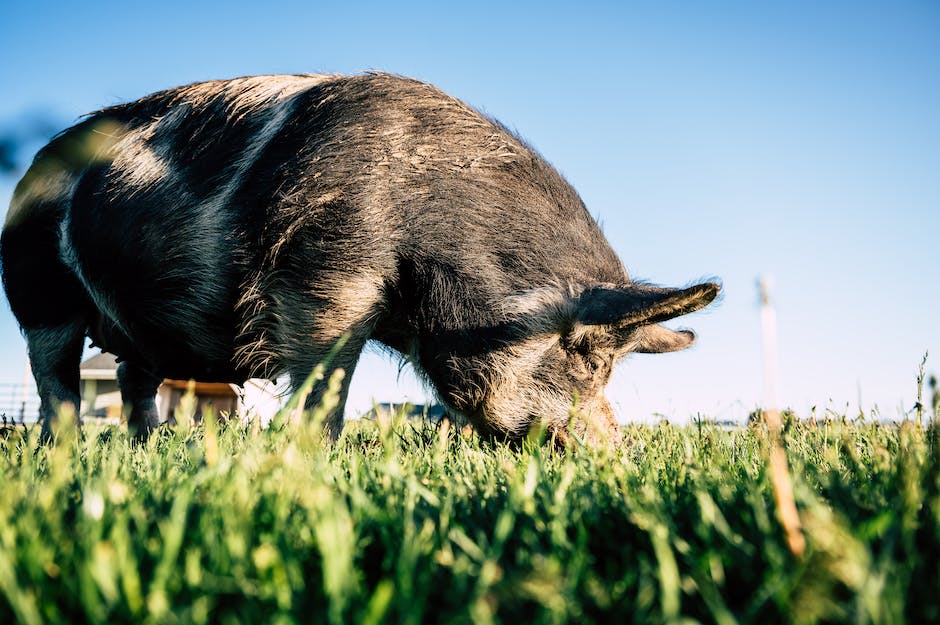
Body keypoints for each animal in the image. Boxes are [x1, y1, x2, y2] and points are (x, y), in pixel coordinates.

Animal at [0, 73, 720, 444]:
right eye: (589, 356)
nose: (613, 452)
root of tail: (35, 167)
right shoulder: (321, 274)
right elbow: (327, 379)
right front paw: (315, 458)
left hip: (130, 329)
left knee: (135, 378)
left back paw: (149, 449)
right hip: (36, 291)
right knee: (56, 380)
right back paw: (62, 451)